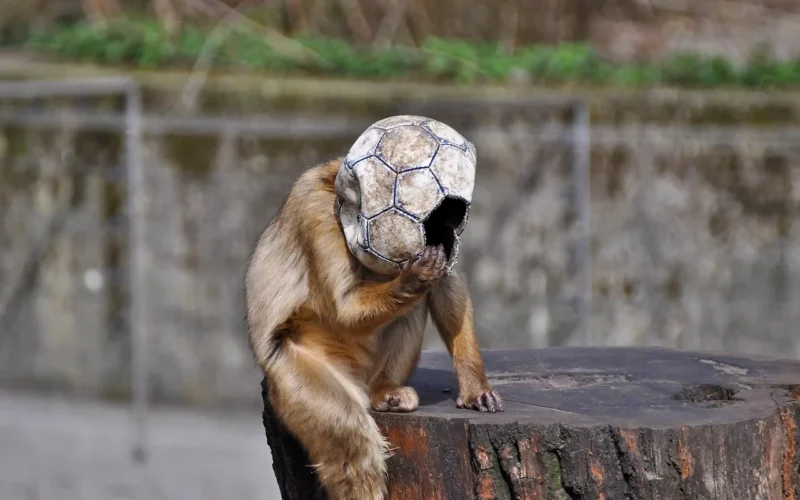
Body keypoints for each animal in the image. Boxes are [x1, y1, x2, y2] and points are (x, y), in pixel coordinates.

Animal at [245, 157, 502, 500]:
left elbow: (447, 283)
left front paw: (474, 387)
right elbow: (344, 309)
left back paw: (386, 388)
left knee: (413, 308)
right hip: (292, 364)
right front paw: (415, 277)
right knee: (350, 436)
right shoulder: (313, 207)